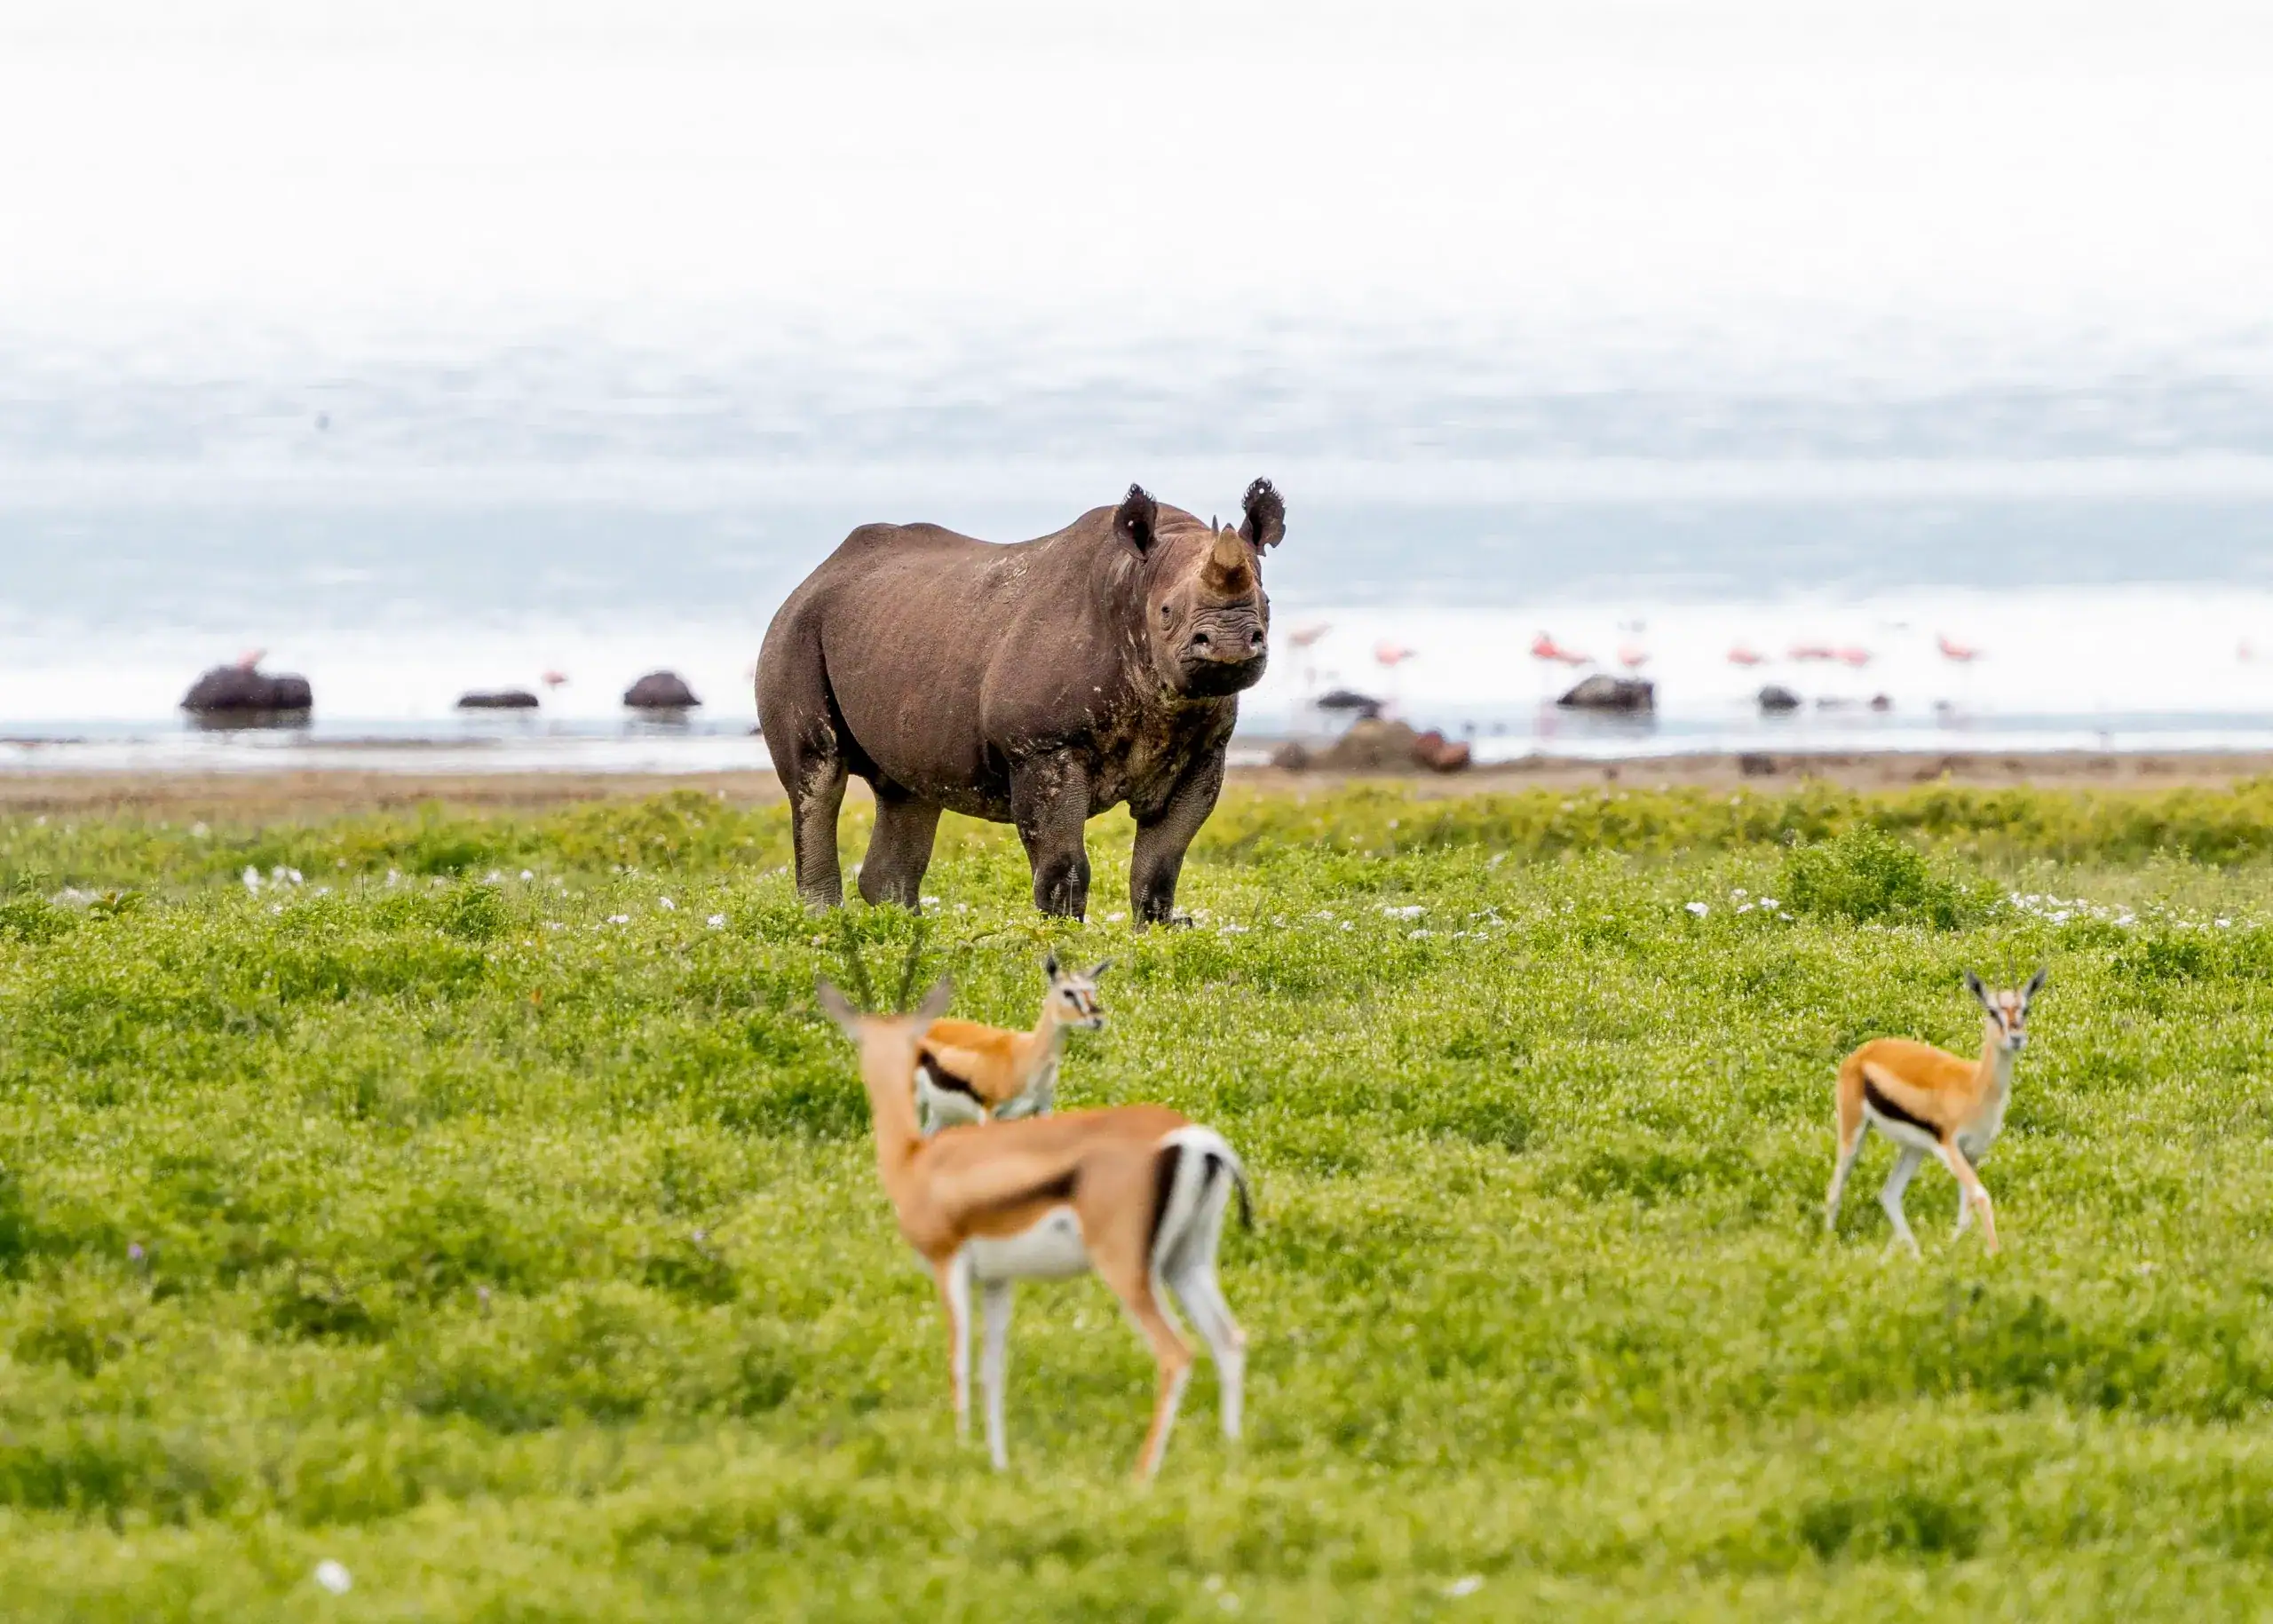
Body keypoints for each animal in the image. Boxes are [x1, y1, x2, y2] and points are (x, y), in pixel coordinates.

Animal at [756, 478, 1285, 923]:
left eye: (1268, 605)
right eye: (1167, 612)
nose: (1231, 644)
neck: (1133, 586)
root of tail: (816, 574)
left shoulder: (1204, 752)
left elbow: (1161, 865)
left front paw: (1155, 933)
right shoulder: (1042, 745)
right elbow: (1063, 863)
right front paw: (1059, 937)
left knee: (909, 791)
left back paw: (905, 930)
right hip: (797, 628)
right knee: (817, 777)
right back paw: (824, 924)